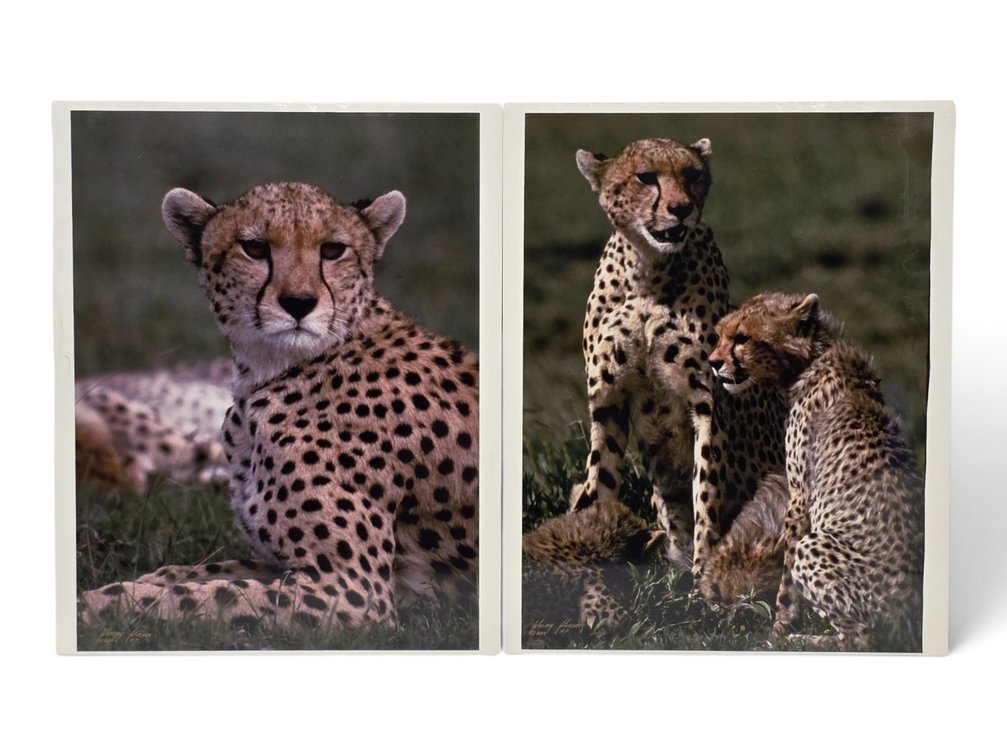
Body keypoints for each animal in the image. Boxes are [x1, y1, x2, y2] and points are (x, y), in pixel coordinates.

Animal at [568, 137, 787, 582]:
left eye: (693, 175)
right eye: (645, 177)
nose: (681, 208)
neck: (648, 272)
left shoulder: (708, 399)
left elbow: (706, 490)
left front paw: (702, 578)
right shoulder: (607, 401)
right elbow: (599, 481)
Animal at [709, 291, 925, 652]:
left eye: (742, 339)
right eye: (720, 335)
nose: (713, 362)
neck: (813, 359)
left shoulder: (799, 497)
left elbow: (785, 586)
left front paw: (778, 630)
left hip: (815, 546)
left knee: (862, 640)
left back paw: (804, 639)